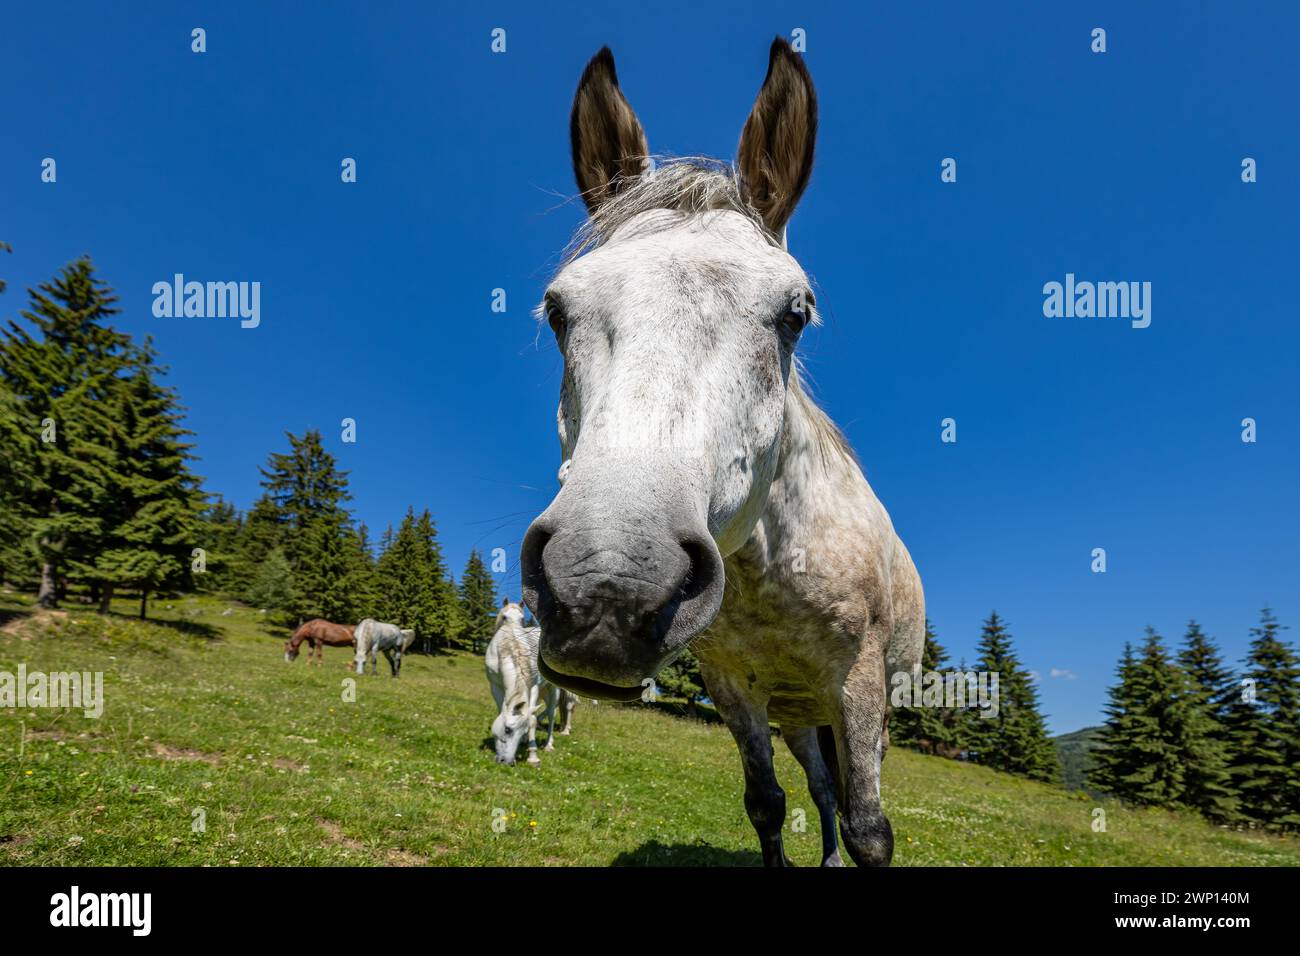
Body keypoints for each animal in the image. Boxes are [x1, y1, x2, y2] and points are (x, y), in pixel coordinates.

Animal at [485, 598, 577, 766]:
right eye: (507, 729)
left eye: (522, 619)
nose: (507, 761)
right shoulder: (494, 686)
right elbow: (502, 710)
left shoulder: (533, 687)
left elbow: (532, 719)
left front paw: (533, 755)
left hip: (552, 689)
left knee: (552, 713)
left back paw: (548, 744)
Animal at [519, 40, 924, 867]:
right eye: (557, 310)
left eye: (795, 313)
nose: (607, 586)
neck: (775, 573)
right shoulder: (736, 688)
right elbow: (767, 806)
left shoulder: (860, 685)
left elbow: (872, 830)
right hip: (797, 716)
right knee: (820, 790)